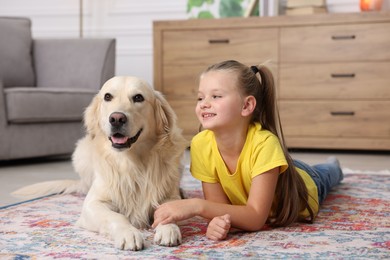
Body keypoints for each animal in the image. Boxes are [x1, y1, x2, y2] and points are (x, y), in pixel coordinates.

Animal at [12, 76, 189, 251]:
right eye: (107, 96)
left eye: (138, 97)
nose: (117, 118)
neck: (131, 163)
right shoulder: (92, 204)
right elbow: (116, 216)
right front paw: (129, 233)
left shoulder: (167, 195)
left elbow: (170, 209)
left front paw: (168, 229)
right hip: (81, 152)